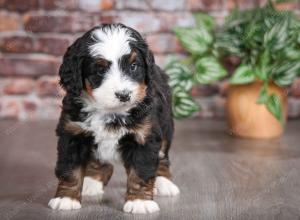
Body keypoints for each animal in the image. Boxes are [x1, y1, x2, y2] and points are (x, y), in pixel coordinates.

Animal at [49, 23, 179, 213]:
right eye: (100, 70)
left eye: (133, 66)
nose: (124, 95)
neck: (110, 111)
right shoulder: (73, 133)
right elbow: (70, 168)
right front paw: (66, 198)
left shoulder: (145, 136)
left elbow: (141, 170)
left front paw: (140, 201)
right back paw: (92, 182)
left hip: (166, 127)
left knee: (162, 156)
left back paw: (164, 183)